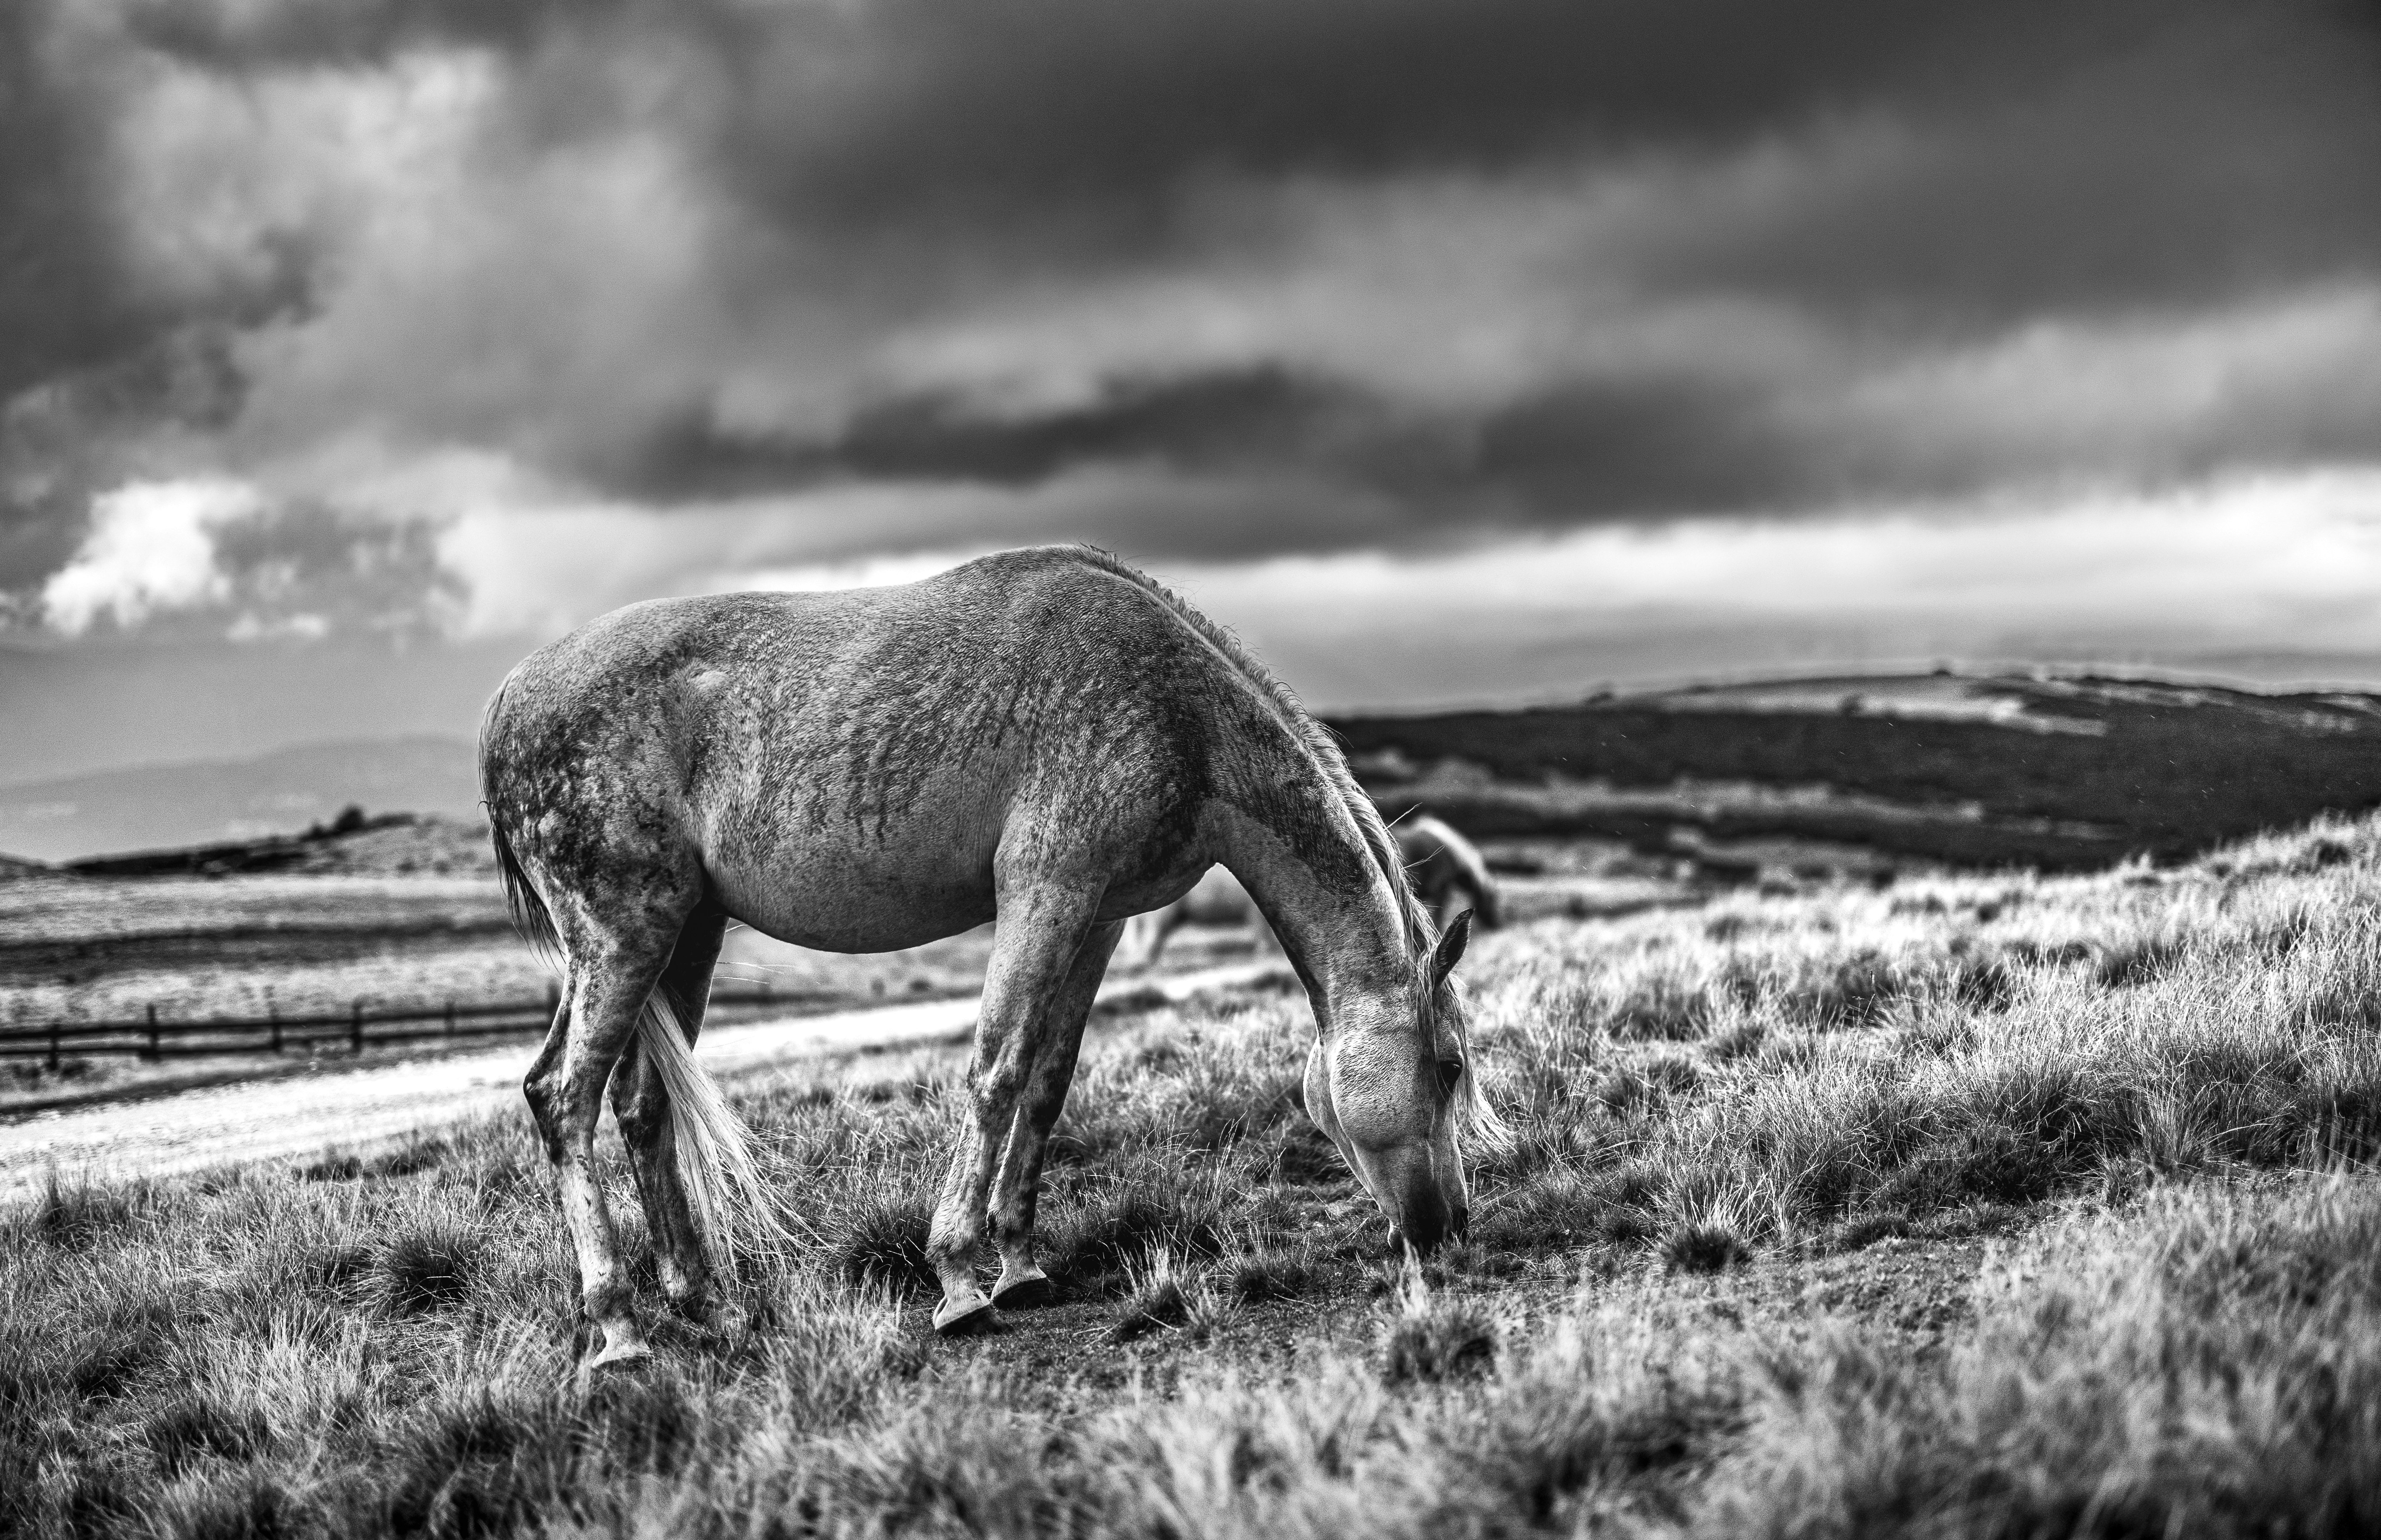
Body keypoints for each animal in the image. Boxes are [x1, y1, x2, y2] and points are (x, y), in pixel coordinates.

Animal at [478, 545, 1498, 1365]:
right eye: (1448, 1066)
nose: (1447, 1224)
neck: (1178, 709)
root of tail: (506, 699)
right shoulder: (1042, 892)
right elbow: (996, 1068)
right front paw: (961, 1276)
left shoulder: (1095, 916)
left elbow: (1047, 1082)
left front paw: (1018, 1260)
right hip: (624, 934)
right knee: (563, 1096)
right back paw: (619, 1327)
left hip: (682, 933)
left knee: (637, 1103)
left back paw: (709, 1306)